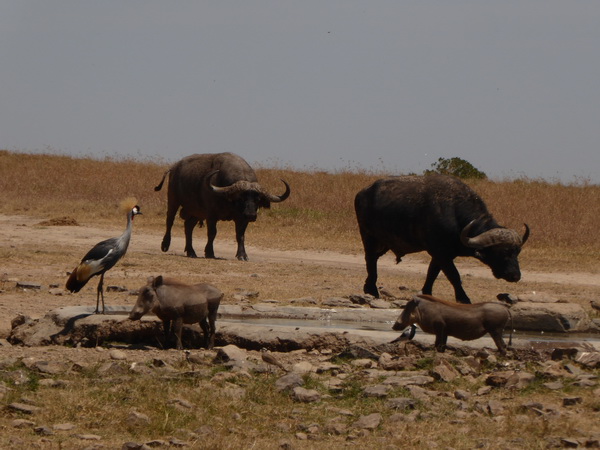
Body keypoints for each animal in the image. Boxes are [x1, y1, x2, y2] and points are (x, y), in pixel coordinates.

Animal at [156, 154, 290, 262]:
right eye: (241, 198)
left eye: (257, 200)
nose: (251, 215)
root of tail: (173, 168)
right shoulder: (211, 215)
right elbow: (212, 233)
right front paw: (209, 252)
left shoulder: (242, 219)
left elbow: (240, 235)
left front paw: (242, 255)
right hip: (173, 200)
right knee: (170, 221)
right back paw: (165, 245)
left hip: (196, 212)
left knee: (188, 226)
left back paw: (191, 251)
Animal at [356, 174, 528, 304]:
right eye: (502, 253)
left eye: (517, 252)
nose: (515, 275)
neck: (455, 216)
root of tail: (362, 193)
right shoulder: (441, 254)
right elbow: (454, 276)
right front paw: (464, 298)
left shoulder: (441, 255)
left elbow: (432, 273)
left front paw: (427, 293)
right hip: (368, 237)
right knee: (370, 260)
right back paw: (372, 290)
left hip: (383, 244)